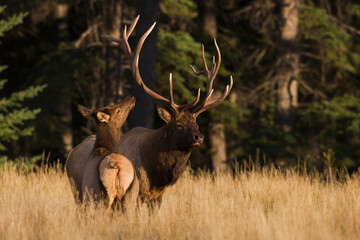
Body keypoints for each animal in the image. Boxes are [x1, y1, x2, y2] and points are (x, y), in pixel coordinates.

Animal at [102, 15, 235, 205]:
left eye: (196, 123)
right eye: (178, 124)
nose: (199, 137)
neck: (155, 175)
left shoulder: (158, 196)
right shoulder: (136, 194)